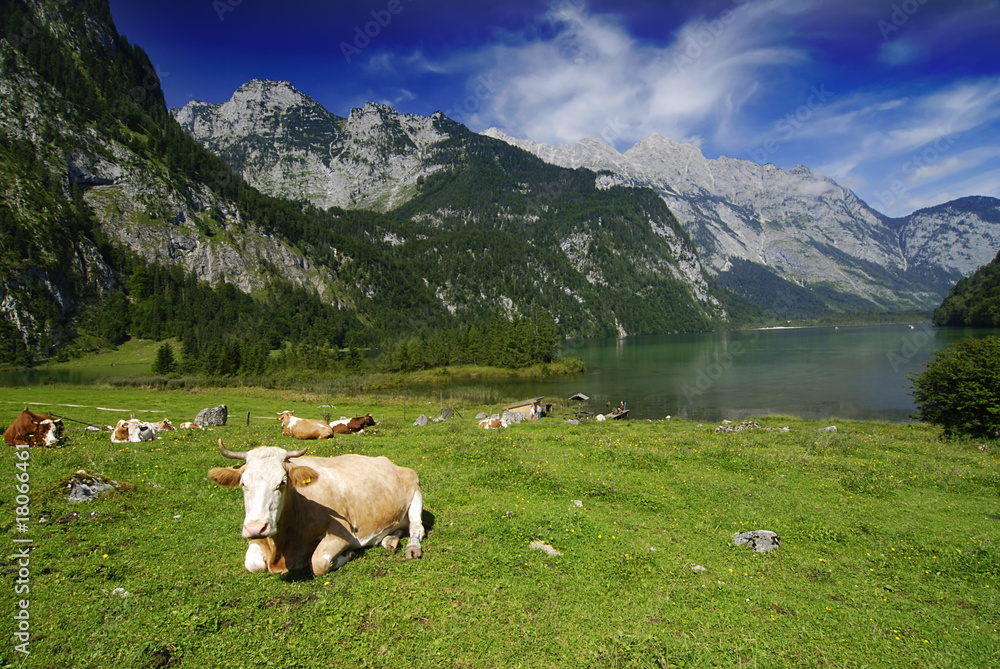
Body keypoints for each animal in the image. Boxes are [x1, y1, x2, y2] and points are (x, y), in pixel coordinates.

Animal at [208, 440, 425, 577]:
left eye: (282, 482)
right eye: (243, 483)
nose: (256, 528)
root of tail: (388, 461)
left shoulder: (344, 532)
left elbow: (318, 562)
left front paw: (348, 554)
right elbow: (252, 563)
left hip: (415, 490)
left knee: (416, 527)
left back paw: (412, 548)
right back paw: (390, 540)